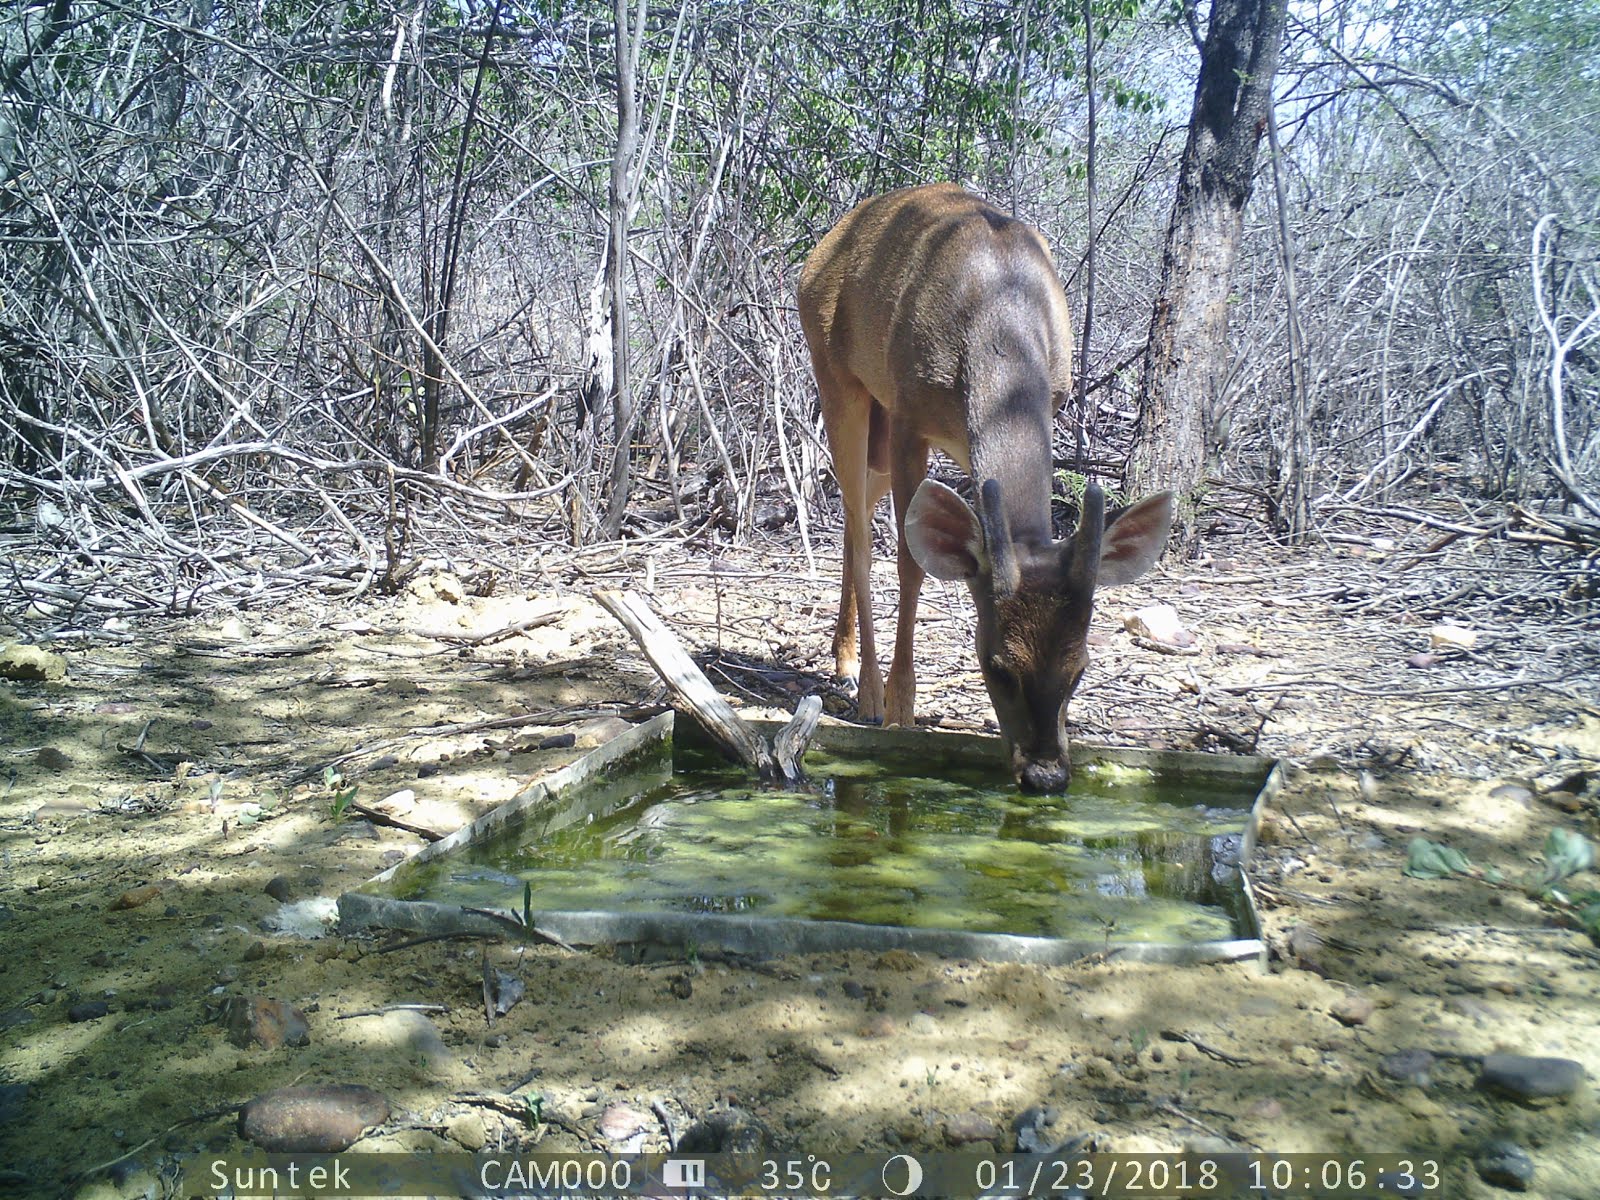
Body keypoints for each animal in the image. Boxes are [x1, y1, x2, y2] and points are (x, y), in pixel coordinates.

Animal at [800, 183, 1177, 793]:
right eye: (996, 666)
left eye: (1080, 671)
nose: (1045, 774)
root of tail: (824, 246)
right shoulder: (909, 414)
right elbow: (912, 563)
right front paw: (903, 707)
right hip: (842, 382)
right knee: (857, 525)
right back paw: (868, 692)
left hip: (879, 426)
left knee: (858, 519)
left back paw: (844, 660)